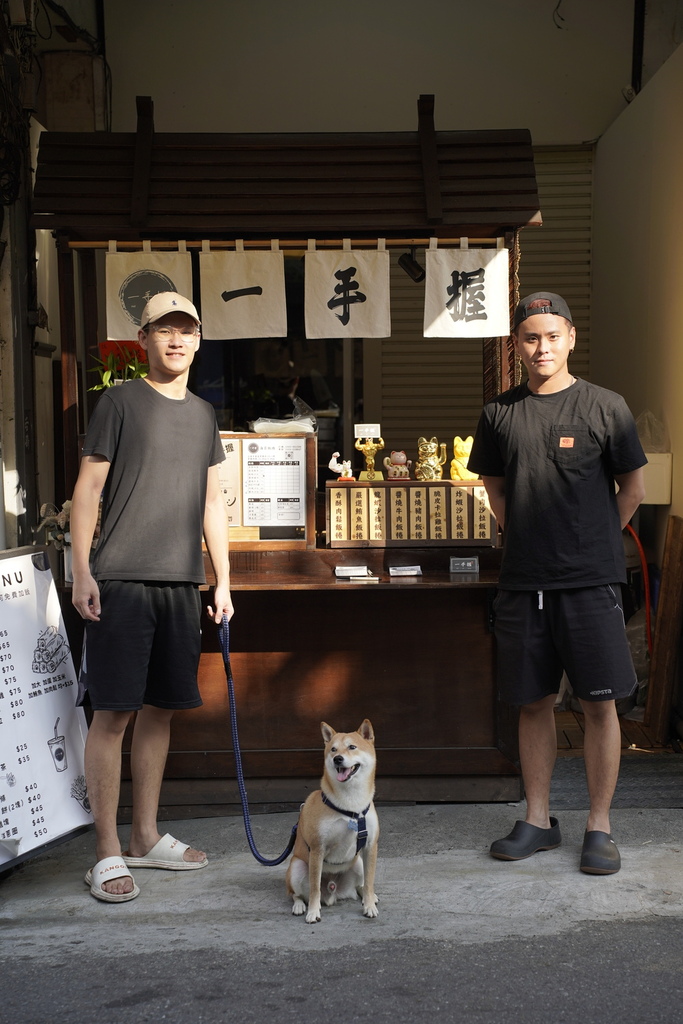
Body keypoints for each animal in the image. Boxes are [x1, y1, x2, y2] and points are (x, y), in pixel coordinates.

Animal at [284, 716, 378, 925]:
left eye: (352, 747)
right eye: (333, 749)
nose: (337, 759)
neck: (351, 807)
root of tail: (334, 890)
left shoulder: (370, 846)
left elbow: (369, 882)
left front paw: (369, 905)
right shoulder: (318, 848)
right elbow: (314, 888)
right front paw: (313, 911)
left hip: (358, 863)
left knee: (360, 885)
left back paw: (368, 897)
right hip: (297, 867)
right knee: (296, 893)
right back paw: (299, 906)